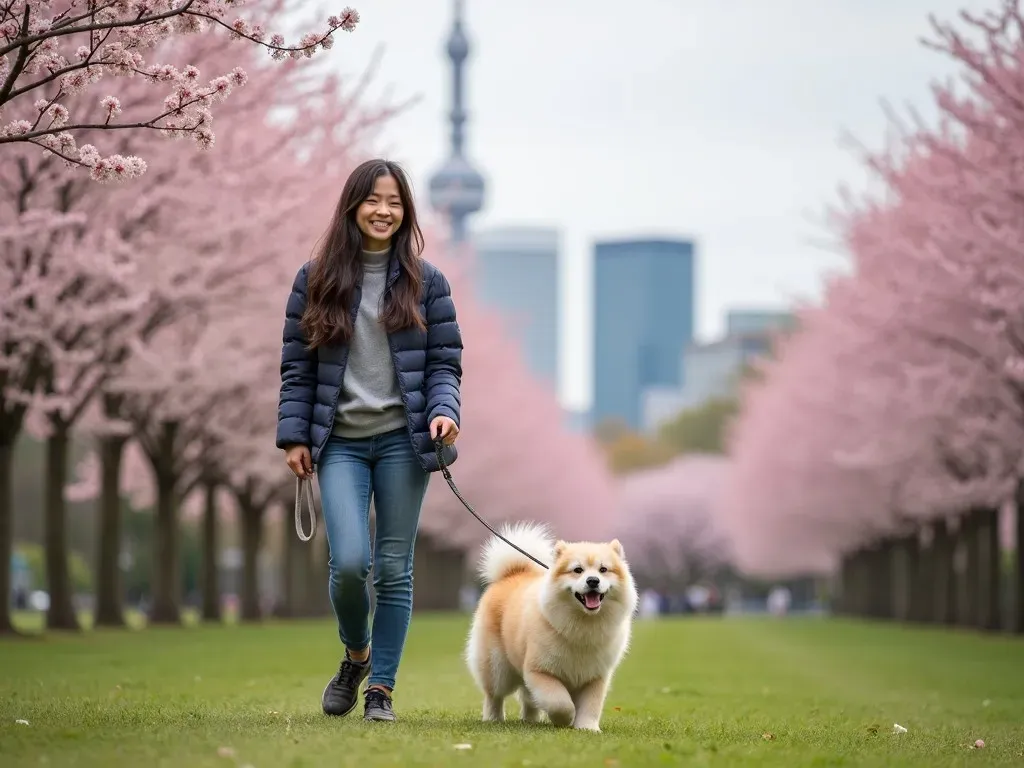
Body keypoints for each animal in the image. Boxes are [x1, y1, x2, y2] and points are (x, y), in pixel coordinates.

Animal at [466, 524, 638, 733]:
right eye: (577, 570)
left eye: (603, 570)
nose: (593, 580)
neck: (583, 624)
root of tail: (513, 573)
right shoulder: (540, 671)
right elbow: (560, 703)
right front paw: (565, 720)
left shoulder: (595, 677)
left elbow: (591, 706)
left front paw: (587, 728)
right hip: (498, 668)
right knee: (494, 696)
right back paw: (494, 718)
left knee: (528, 699)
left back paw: (531, 720)